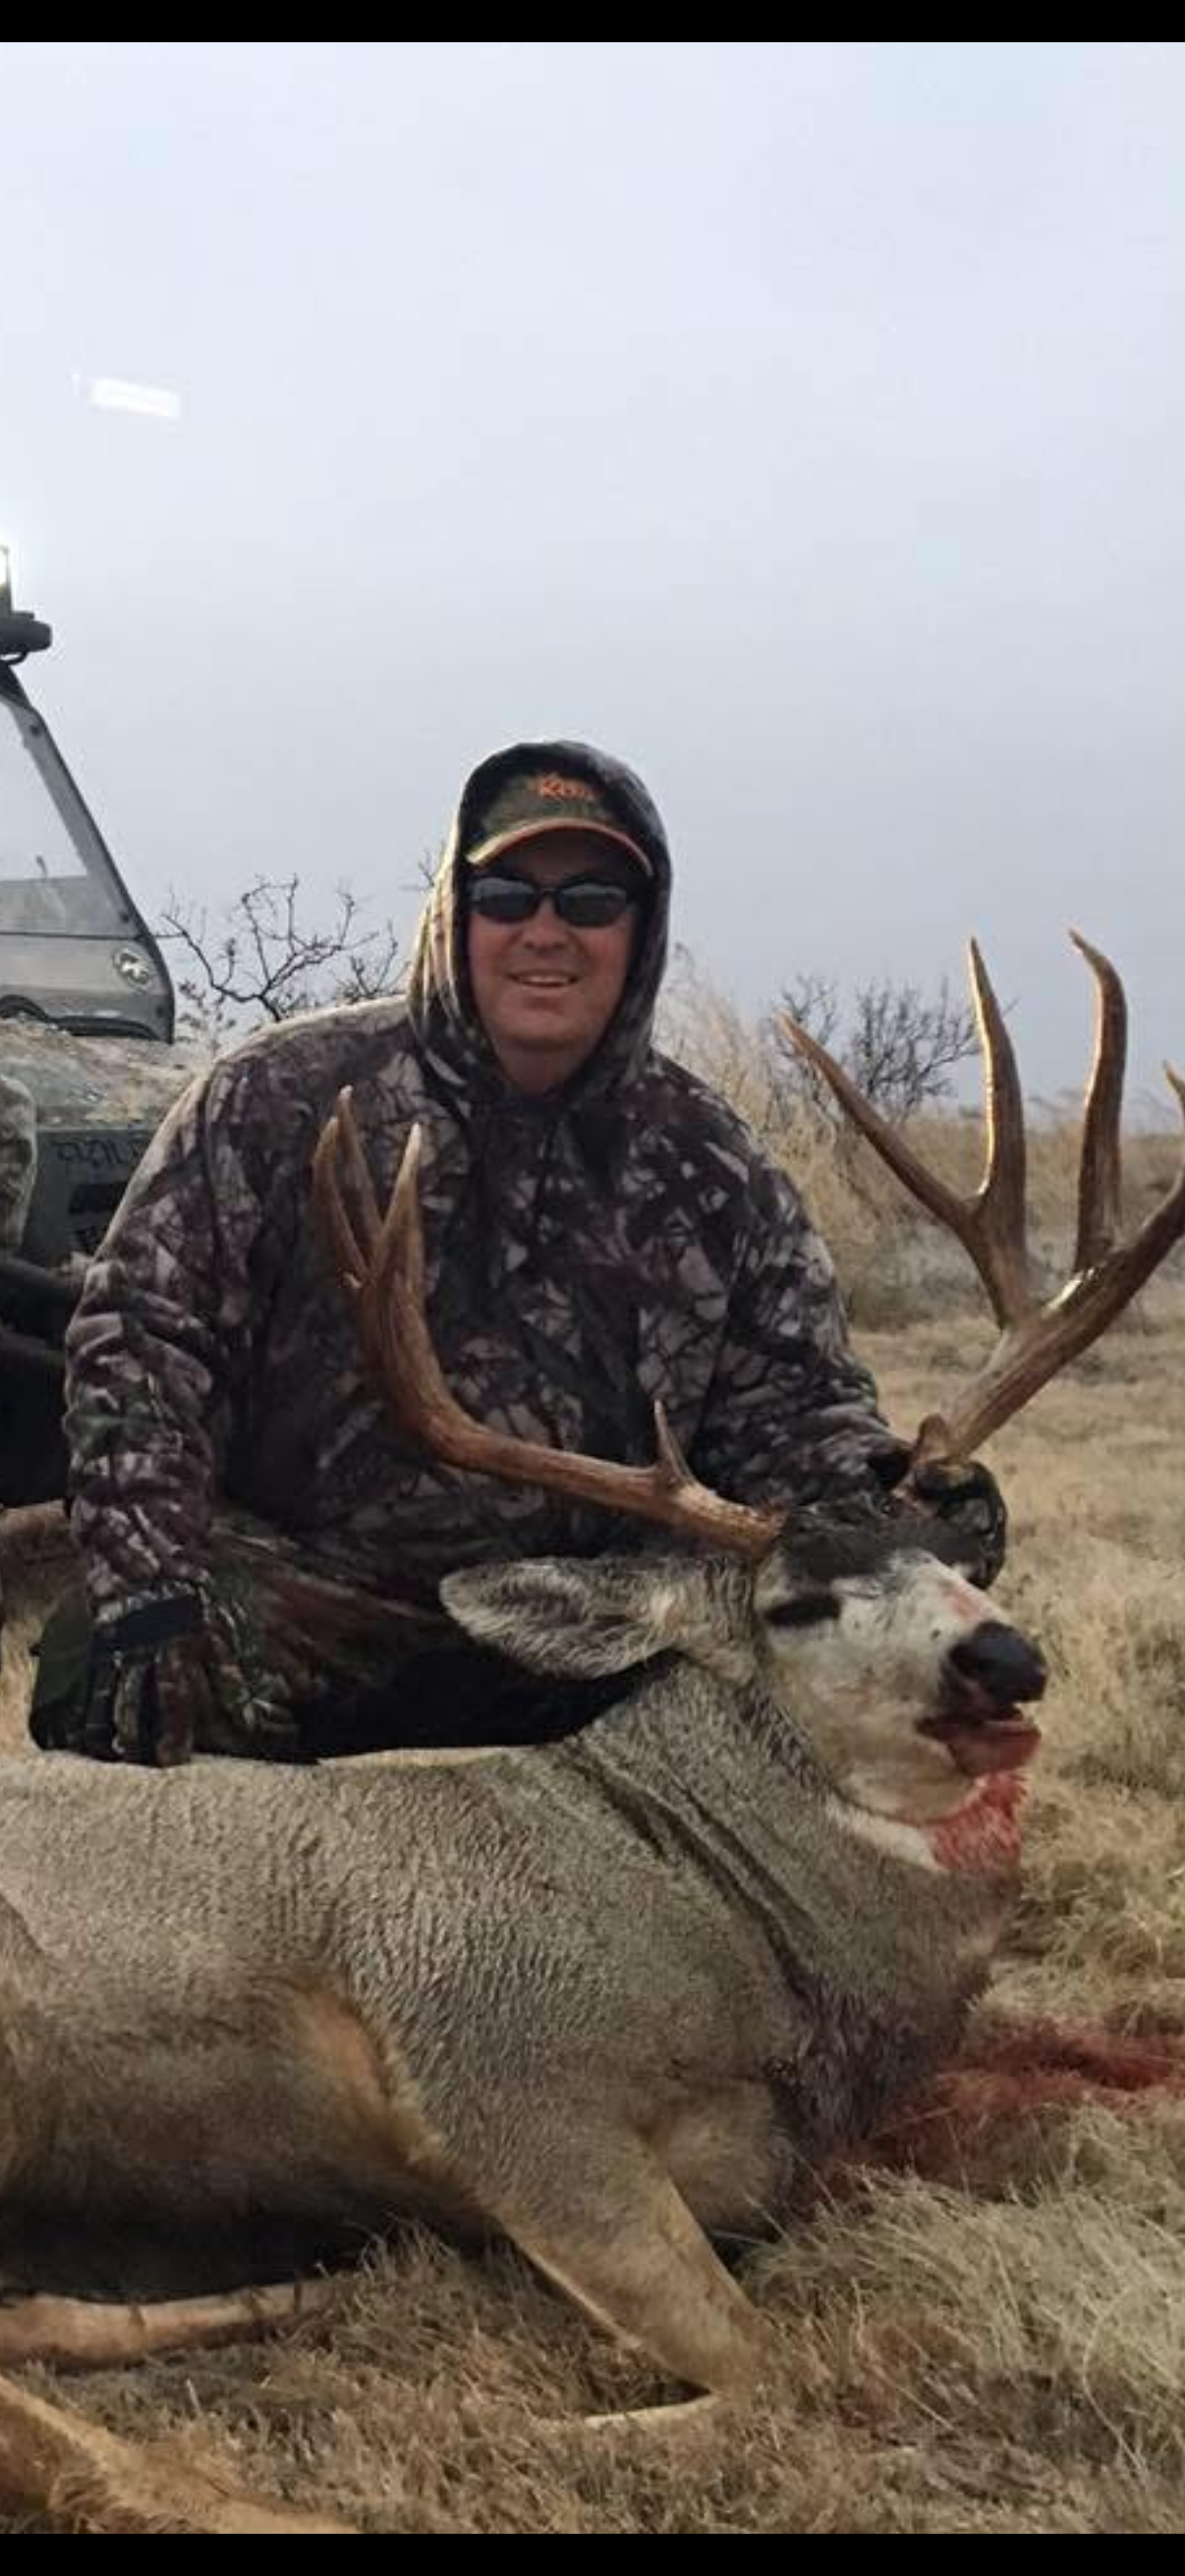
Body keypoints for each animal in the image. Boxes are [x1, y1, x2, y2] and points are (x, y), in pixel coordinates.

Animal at [0, 934, 1182, 2534]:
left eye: (957, 1557)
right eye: (798, 1601)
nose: (1005, 1658)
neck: (727, 1924)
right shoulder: (508, 2071)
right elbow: (774, 2372)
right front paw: (552, 2432)